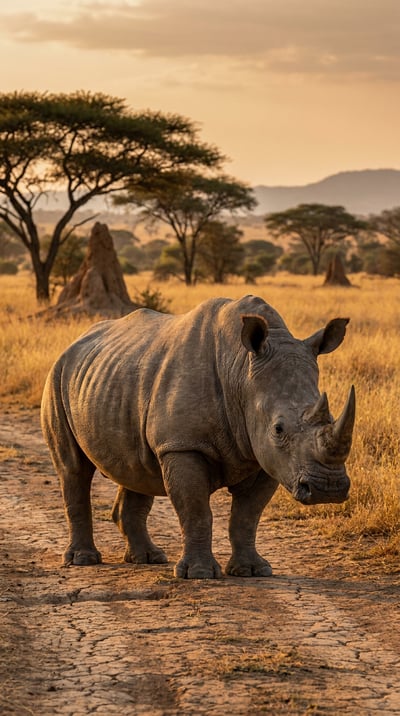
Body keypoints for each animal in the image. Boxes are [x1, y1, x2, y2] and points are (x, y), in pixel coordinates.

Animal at [41, 295, 355, 579]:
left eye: (330, 418)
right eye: (278, 429)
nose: (328, 489)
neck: (241, 371)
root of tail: (76, 341)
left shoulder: (266, 457)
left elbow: (247, 516)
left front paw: (254, 571)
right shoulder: (182, 445)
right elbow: (196, 510)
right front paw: (200, 574)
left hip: (115, 378)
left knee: (135, 469)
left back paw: (148, 558)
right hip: (57, 376)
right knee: (73, 469)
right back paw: (83, 560)